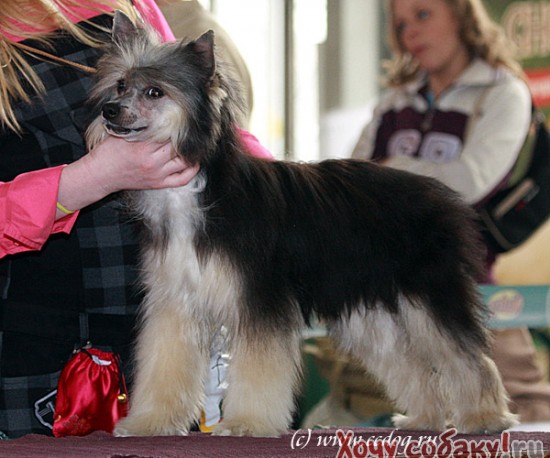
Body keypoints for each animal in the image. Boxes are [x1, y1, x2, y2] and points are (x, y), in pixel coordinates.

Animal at [87, 11, 520, 436]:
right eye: (121, 84)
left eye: (154, 93)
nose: (110, 110)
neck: (197, 191)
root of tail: (440, 194)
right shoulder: (176, 303)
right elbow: (165, 362)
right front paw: (150, 421)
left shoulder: (261, 300)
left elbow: (260, 369)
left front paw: (247, 423)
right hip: (375, 310)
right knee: (409, 365)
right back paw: (424, 418)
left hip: (430, 295)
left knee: (469, 358)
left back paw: (486, 417)